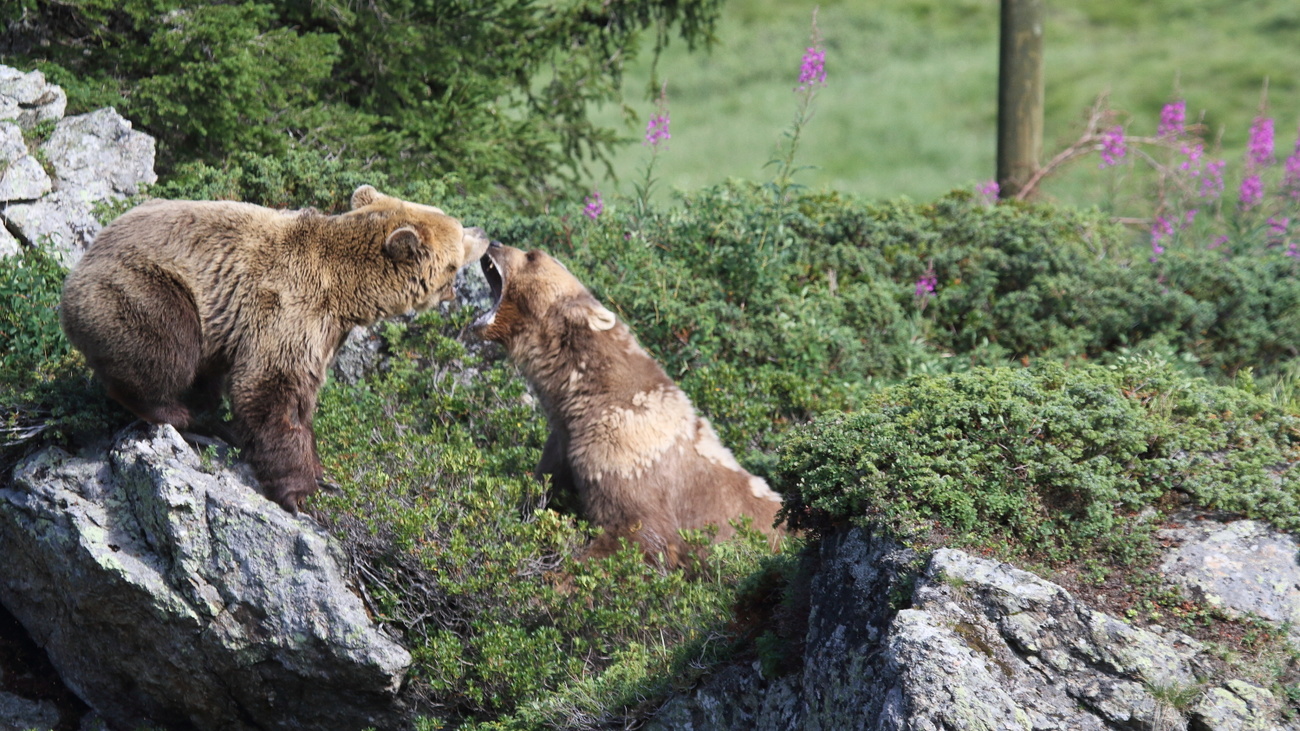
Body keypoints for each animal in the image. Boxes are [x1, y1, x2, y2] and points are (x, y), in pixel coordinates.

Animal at [59, 184, 491, 509]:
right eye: (457, 233)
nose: (485, 233)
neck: (346, 293)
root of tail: (81, 263)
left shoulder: (324, 334)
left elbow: (302, 398)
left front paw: (321, 473)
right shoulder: (288, 308)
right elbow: (270, 388)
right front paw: (299, 492)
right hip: (146, 286)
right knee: (167, 346)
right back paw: (175, 412)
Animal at [475, 241, 780, 567]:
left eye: (533, 256)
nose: (494, 243)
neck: (583, 399)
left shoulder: (623, 452)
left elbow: (637, 530)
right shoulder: (563, 445)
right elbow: (543, 491)